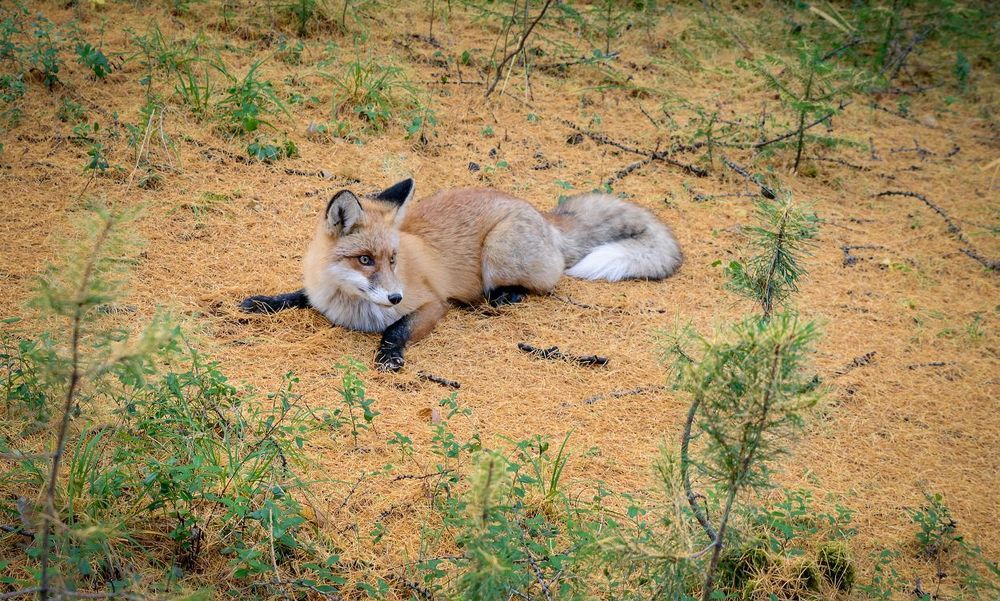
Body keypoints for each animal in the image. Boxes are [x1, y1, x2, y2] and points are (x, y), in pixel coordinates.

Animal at [240, 178, 682, 371]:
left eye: (393, 259)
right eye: (365, 260)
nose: (396, 297)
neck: (349, 306)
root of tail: (543, 215)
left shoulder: (433, 304)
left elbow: (396, 328)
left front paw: (389, 354)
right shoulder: (320, 294)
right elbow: (296, 296)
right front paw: (263, 302)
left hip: (499, 251)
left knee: (545, 283)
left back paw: (504, 296)